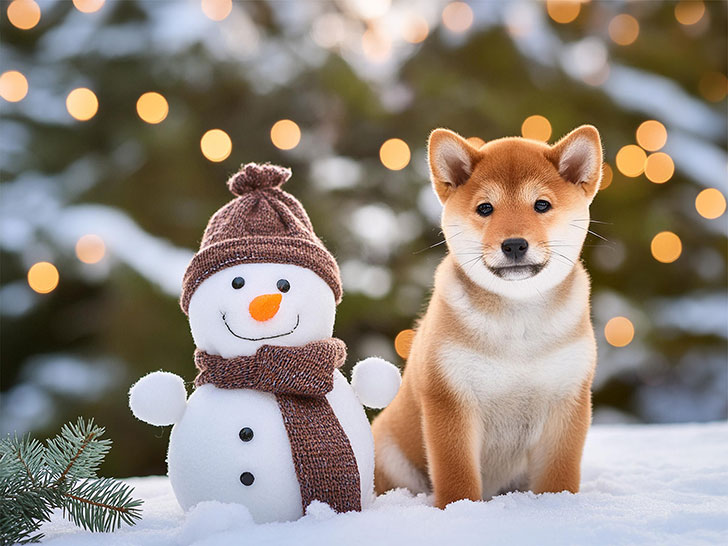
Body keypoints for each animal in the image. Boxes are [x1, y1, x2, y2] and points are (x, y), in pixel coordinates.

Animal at [372, 123, 600, 506]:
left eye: (541, 204)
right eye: (485, 208)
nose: (514, 244)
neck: (518, 324)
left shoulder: (567, 399)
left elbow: (559, 475)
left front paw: (558, 508)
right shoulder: (450, 398)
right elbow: (457, 476)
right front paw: (461, 510)